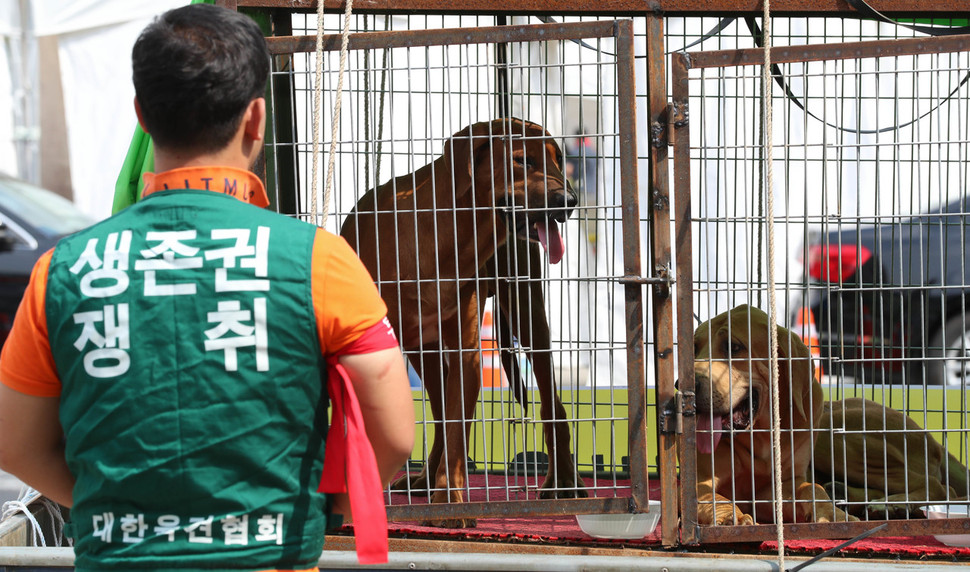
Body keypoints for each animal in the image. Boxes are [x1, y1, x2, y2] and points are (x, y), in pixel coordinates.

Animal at [688, 306, 856, 524]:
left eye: (733, 347)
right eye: (694, 348)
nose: (682, 384)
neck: (761, 434)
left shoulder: (778, 487)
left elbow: (811, 488)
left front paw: (832, 513)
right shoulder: (700, 481)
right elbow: (715, 497)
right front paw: (731, 516)